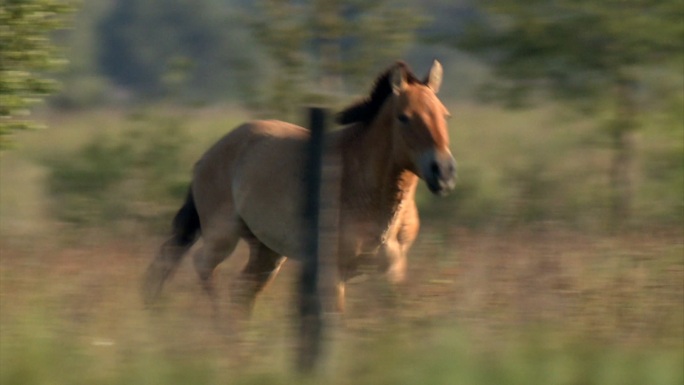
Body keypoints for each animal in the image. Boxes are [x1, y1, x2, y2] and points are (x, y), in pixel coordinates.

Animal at [142, 59, 456, 312]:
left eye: (445, 115)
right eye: (404, 117)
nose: (444, 172)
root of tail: (208, 156)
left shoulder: (392, 270)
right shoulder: (333, 274)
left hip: (267, 252)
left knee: (238, 290)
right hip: (223, 236)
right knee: (202, 267)